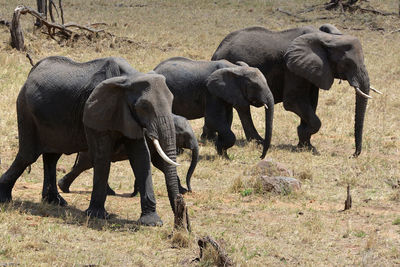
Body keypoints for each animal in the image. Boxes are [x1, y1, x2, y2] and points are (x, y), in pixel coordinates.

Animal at [0, 56, 180, 226]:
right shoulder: (95, 110)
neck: (130, 77)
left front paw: (152, 222)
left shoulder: (127, 115)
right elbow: (102, 156)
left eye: (172, 102)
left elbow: (141, 157)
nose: (178, 220)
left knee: (52, 156)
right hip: (25, 110)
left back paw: (55, 201)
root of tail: (32, 71)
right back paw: (5, 198)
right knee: (28, 155)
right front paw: (97, 215)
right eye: (144, 107)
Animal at [57, 114, 199, 196]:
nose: (190, 190)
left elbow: (158, 162)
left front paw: (182, 191)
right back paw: (64, 188)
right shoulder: (148, 138)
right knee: (84, 165)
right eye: (184, 135)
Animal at [212, 23, 378, 157]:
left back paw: (257, 141)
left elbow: (312, 102)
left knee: (243, 107)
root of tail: (217, 51)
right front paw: (304, 137)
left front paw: (306, 146)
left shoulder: (312, 70)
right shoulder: (291, 68)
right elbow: (293, 101)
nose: (353, 155)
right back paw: (259, 142)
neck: (328, 38)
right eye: (347, 63)